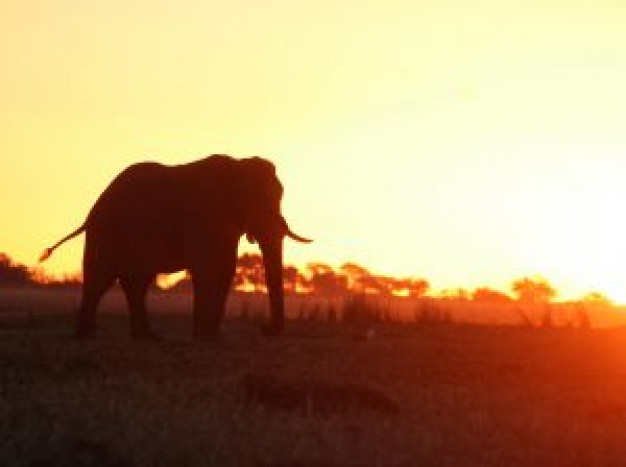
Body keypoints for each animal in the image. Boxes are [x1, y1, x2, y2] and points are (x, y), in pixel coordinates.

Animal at [39, 156, 310, 340]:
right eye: (260, 202)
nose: (264, 328)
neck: (237, 166)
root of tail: (90, 213)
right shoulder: (203, 215)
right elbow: (206, 269)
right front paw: (203, 338)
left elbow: (226, 270)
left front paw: (212, 338)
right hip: (106, 232)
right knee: (101, 278)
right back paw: (85, 336)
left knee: (136, 282)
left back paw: (147, 338)